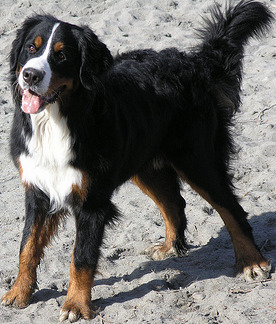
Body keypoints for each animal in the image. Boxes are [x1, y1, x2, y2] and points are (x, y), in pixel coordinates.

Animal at [0, 0, 274, 322]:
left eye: (61, 55)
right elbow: (27, 247)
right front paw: (19, 293)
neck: (57, 120)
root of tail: (193, 64)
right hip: (144, 165)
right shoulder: (38, 189)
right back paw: (169, 247)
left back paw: (252, 262)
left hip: (198, 160)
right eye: (31, 48)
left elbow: (81, 258)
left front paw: (76, 305)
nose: (30, 75)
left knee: (232, 210)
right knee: (174, 204)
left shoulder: (92, 202)